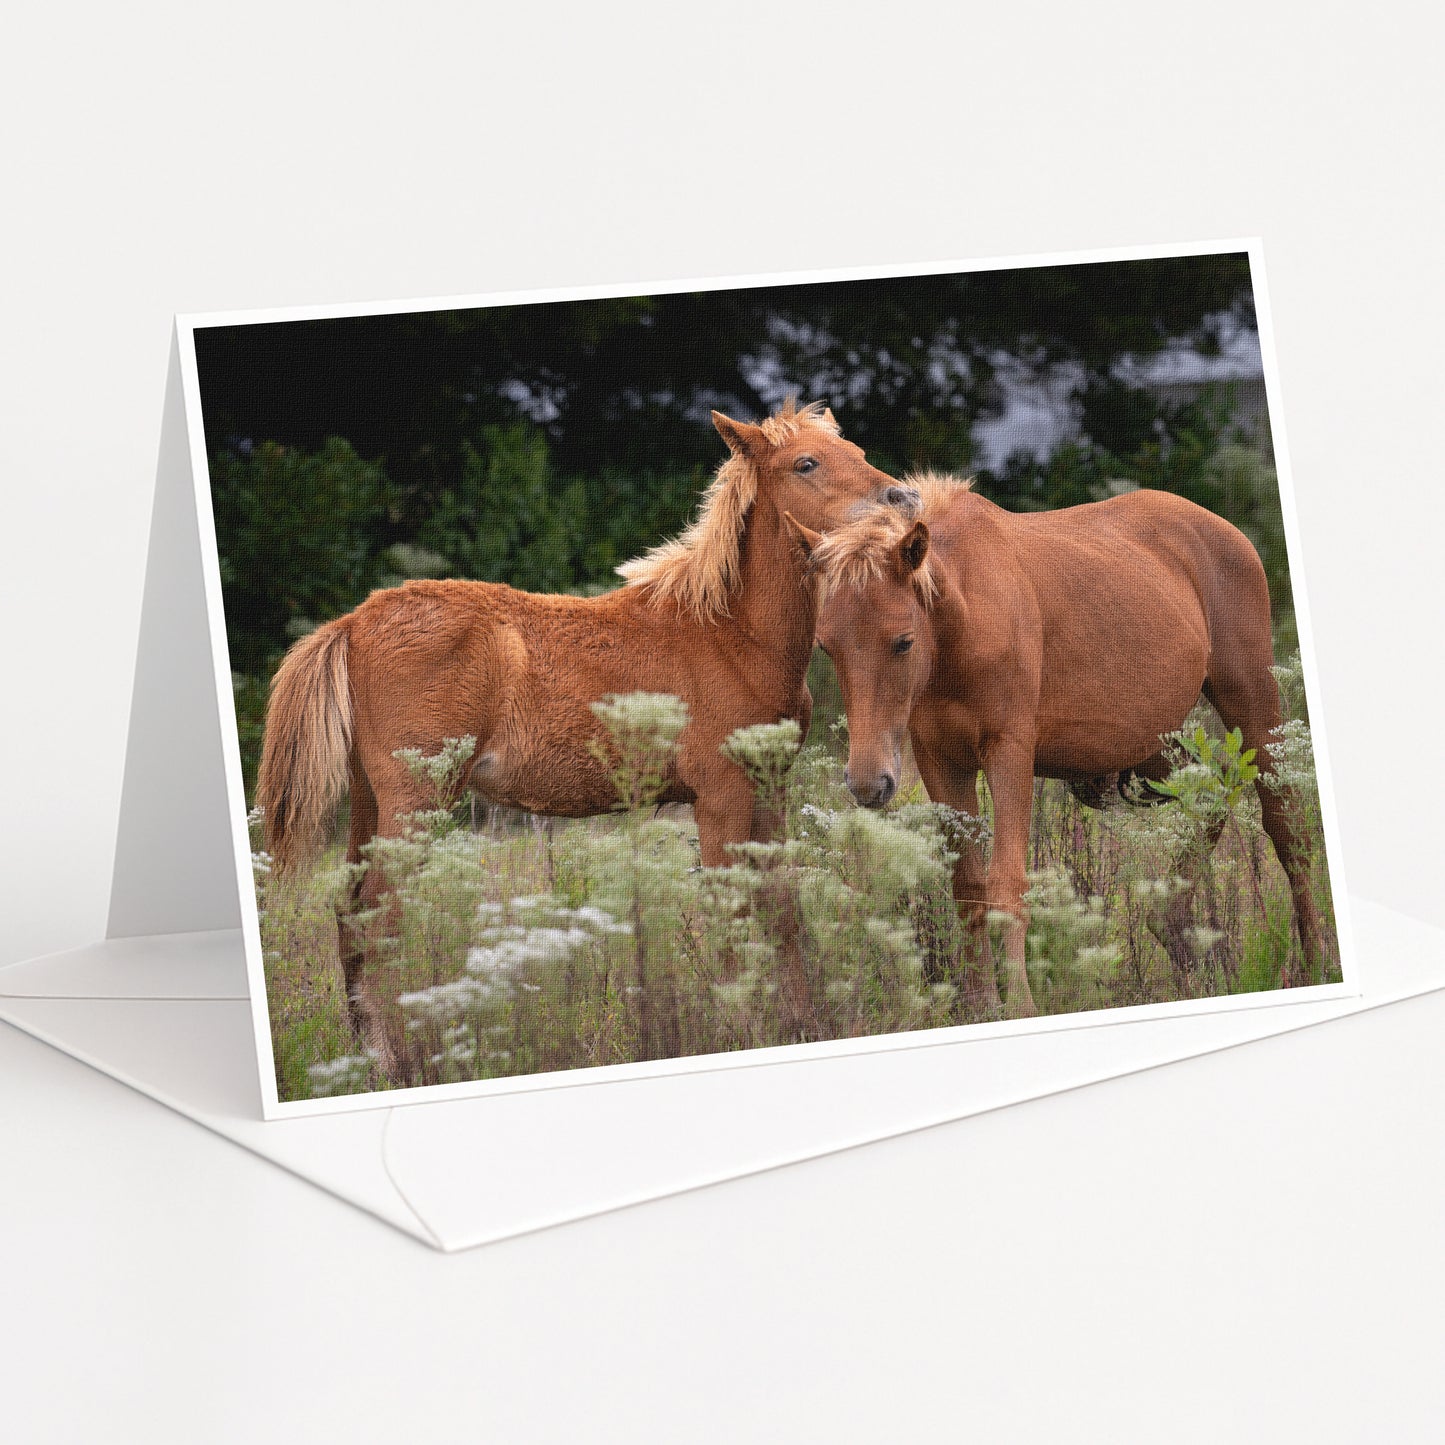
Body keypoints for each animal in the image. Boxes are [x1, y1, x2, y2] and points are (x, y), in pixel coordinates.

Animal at [256, 399, 914, 1077]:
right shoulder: (720, 795)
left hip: (370, 803)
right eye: (806, 463)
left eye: (856, 450)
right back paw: (394, 1063)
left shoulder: (768, 788)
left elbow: (781, 908)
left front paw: (801, 1024)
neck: (729, 633)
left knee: (350, 913)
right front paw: (745, 1028)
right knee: (377, 918)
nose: (902, 498)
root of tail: (351, 622)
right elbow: (730, 913)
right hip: (415, 804)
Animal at [789, 474, 1327, 1018]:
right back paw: (1175, 932)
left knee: (1286, 830)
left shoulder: (1009, 754)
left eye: (903, 641)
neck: (965, 620)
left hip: (1251, 703)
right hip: (1155, 751)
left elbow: (1006, 885)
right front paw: (982, 1004)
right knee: (1213, 791)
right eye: (826, 646)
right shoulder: (940, 761)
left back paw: (1315, 960)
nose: (867, 784)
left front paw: (1020, 1005)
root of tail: (1224, 531)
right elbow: (968, 888)